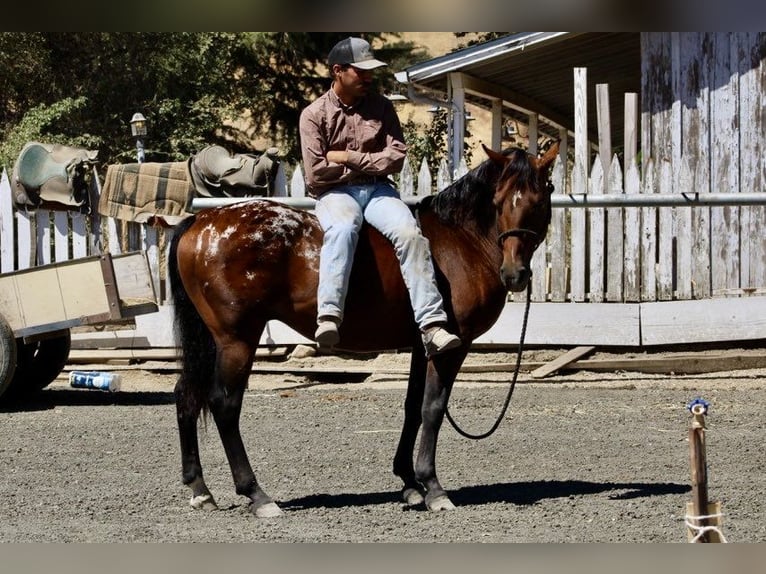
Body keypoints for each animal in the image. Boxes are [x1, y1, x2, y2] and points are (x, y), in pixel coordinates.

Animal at [167, 142, 559, 517]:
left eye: (539, 201)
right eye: (498, 201)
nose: (514, 273)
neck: (459, 241)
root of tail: (202, 220)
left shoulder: (422, 345)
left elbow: (412, 407)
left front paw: (409, 482)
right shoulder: (452, 347)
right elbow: (433, 408)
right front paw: (433, 487)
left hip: (211, 340)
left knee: (186, 393)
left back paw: (200, 489)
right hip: (237, 340)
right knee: (224, 404)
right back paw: (256, 494)